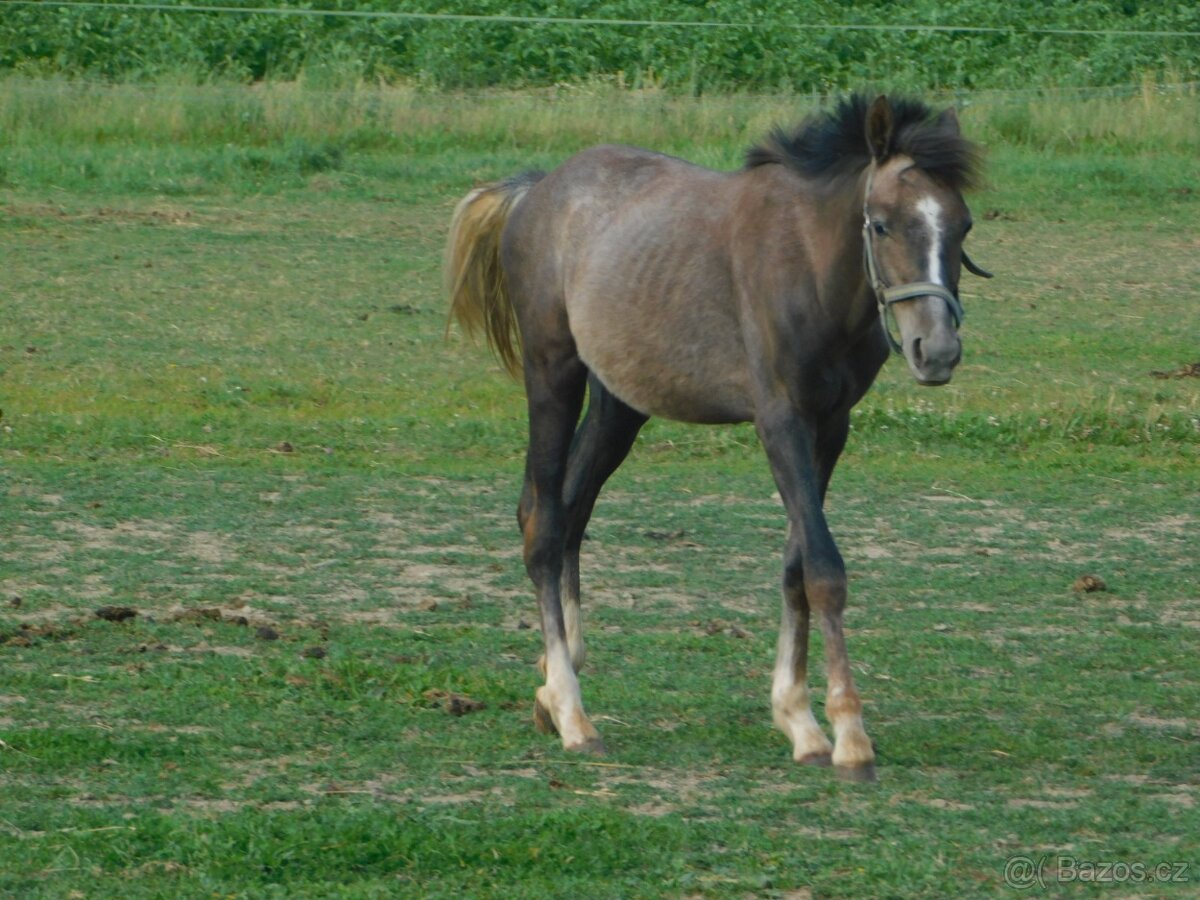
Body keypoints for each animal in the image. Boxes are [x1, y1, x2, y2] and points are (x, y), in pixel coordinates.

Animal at [444, 94, 990, 781]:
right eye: (883, 224)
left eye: (962, 226)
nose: (936, 351)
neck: (811, 267)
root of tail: (538, 190)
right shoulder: (780, 419)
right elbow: (824, 568)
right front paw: (848, 735)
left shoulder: (831, 426)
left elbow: (795, 565)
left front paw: (799, 720)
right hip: (553, 373)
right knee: (542, 525)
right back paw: (571, 713)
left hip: (619, 404)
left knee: (569, 510)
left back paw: (550, 684)